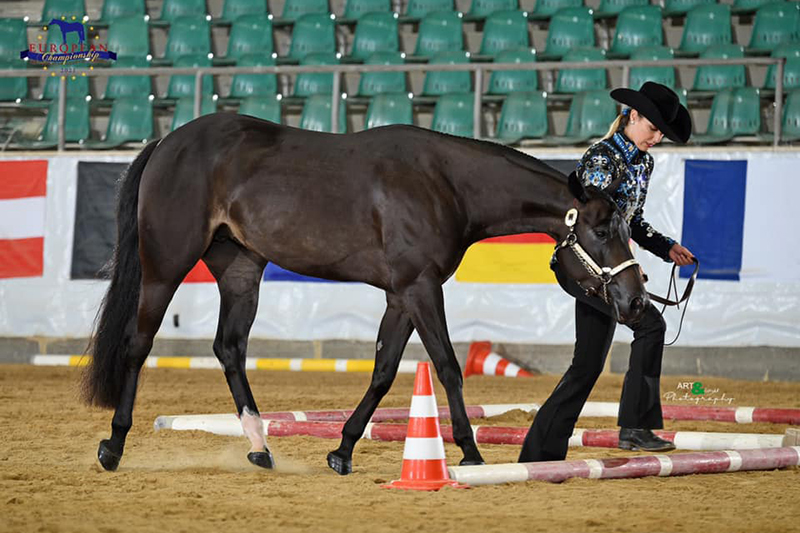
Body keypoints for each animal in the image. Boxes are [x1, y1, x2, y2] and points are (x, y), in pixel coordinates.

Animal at [81, 114, 648, 472]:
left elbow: (383, 371)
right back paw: (112, 446)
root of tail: (167, 144)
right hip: (165, 266)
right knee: (138, 345)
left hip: (241, 271)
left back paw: (260, 447)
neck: (445, 184)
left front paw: (343, 450)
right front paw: (469, 453)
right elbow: (447, 367)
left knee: (230, 349)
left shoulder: (401, 296)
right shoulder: (421, 289)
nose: (635, 300)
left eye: (628, 226)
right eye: (602, 229)